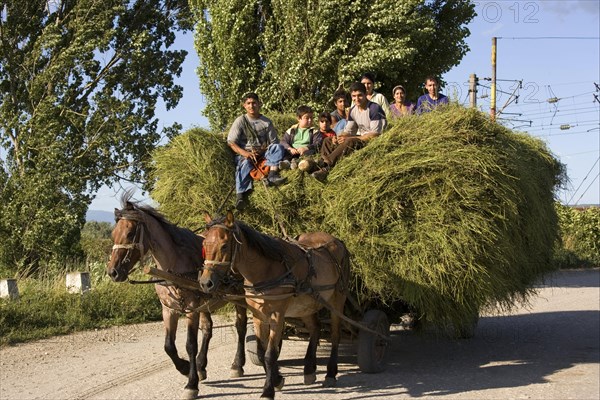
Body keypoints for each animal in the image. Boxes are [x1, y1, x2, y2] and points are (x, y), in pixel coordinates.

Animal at [106, 193, 247, 396]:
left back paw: (237, 364)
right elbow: (169, 346)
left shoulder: (191, 309)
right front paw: (185, 367)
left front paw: (191, 384)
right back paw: (201, 365)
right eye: (113, 234)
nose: (113, 272)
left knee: (241, 326)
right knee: (207, 329)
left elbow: (190, 344)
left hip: (240, 294)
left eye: (131, 233)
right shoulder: (168, 309)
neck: (173, 266)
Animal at [199, 211, 350, 398]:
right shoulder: (258, 315)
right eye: (204, 244)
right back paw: (309, 369)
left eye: (225, 246)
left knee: (335, 335)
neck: (266, 270)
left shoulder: (277, 316)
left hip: (337, 300)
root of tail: (338, 241)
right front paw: (277, 379)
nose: (206, 283)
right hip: (306, 306)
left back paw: (330, 373)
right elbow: (261, 351)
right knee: (315, 328)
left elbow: (270, 354)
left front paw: (268, 390)